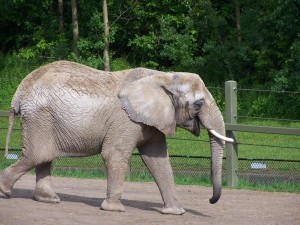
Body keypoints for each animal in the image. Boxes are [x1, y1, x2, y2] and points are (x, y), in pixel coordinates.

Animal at [0, 60, 233, 215]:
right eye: (199, 104)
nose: (211, 200)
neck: (164, 77)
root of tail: (19, 91)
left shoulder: (151, 121)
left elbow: (158, 161)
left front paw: (176, 212)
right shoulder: (126, 119)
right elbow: (115, 153)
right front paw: (115, 210)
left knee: (44, 156)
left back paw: (49, 200)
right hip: (39, 117)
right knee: (38, 155)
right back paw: (4, 192)